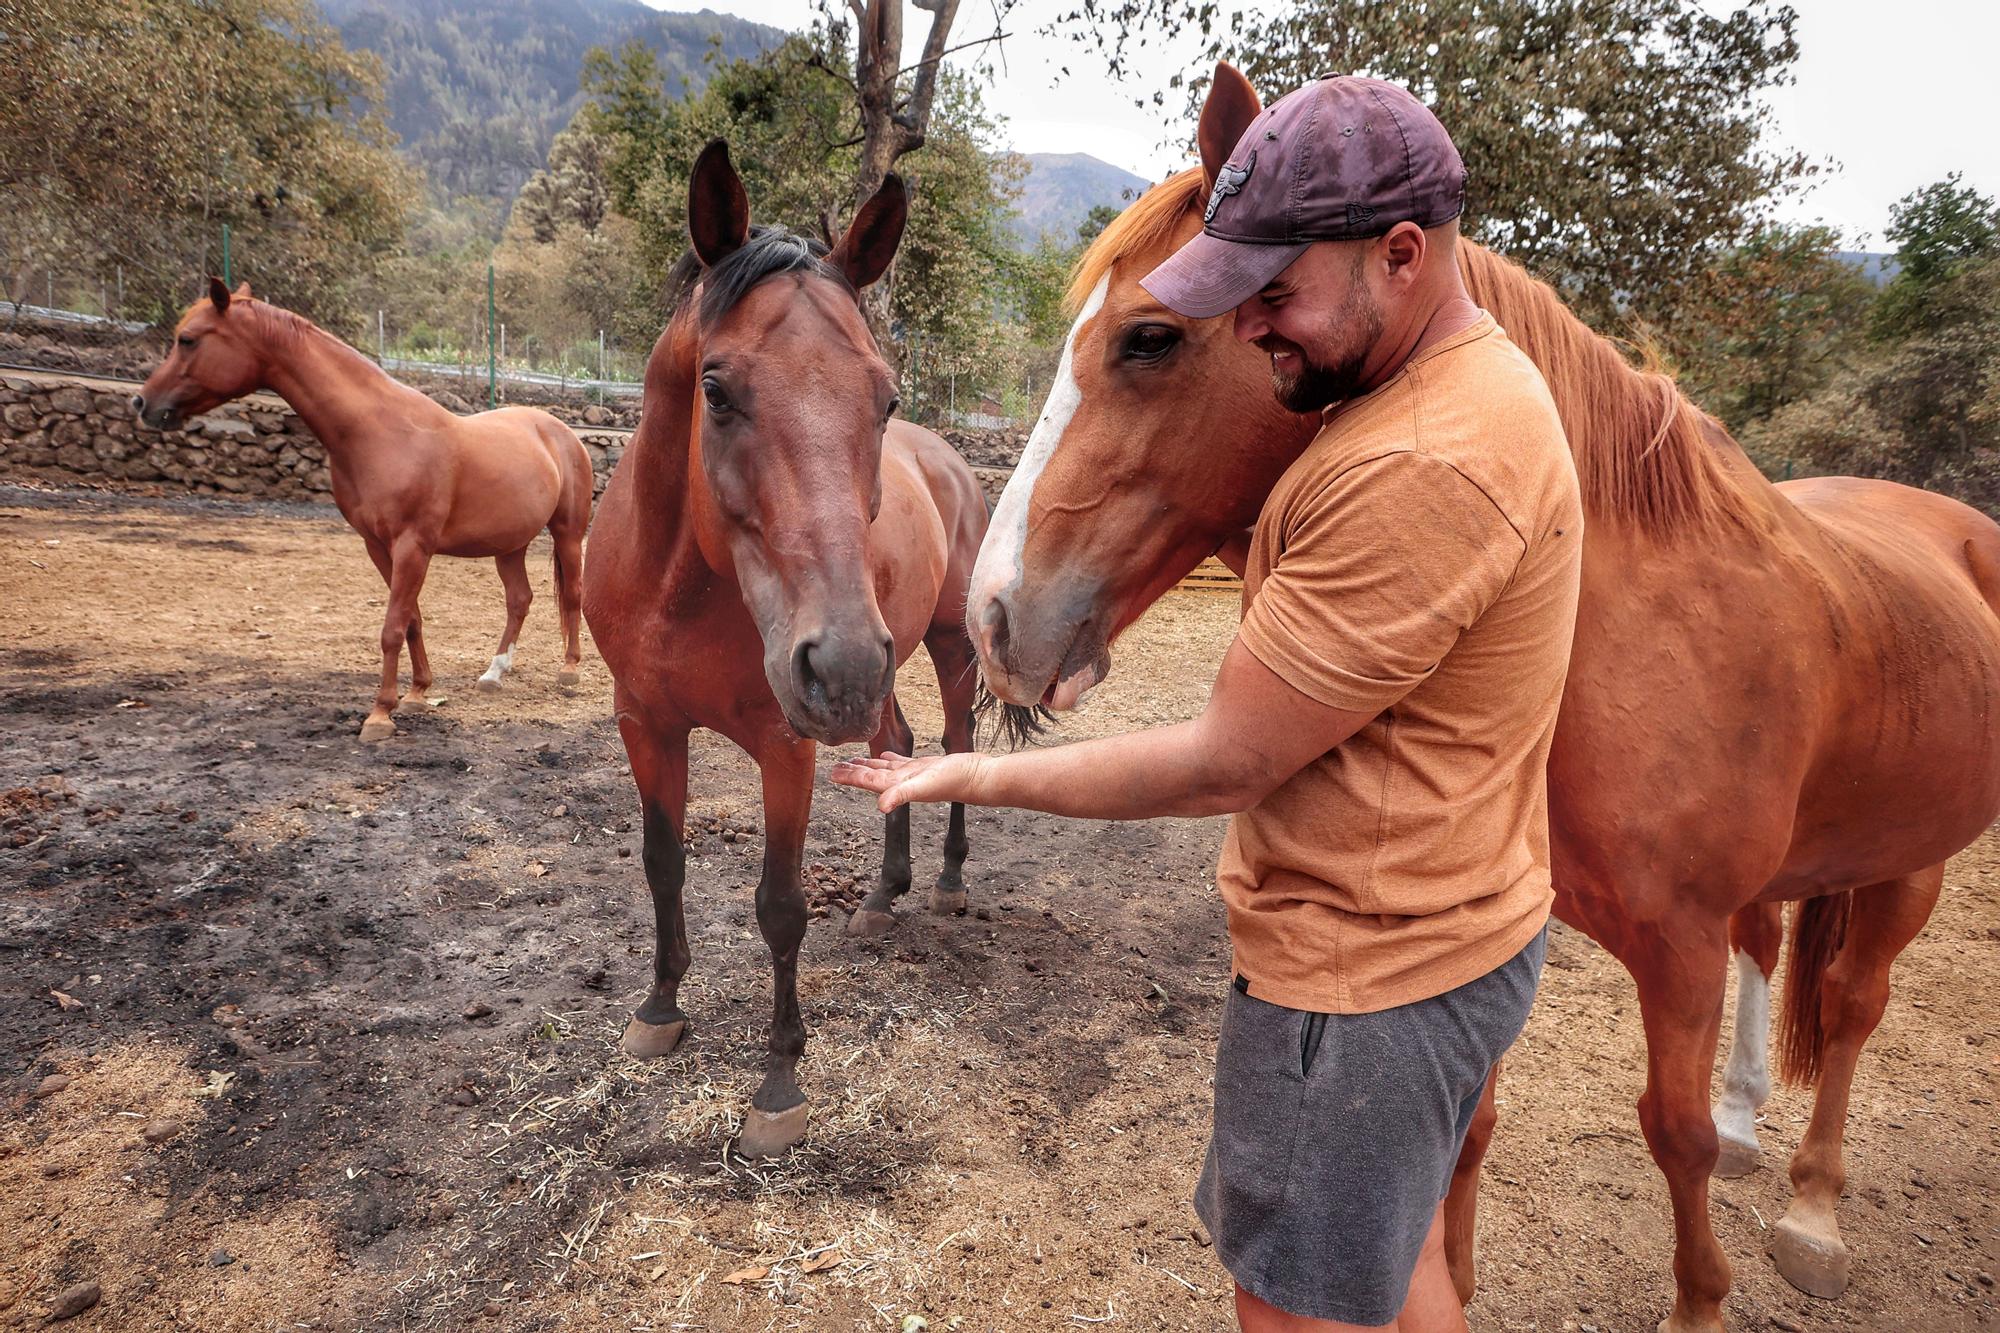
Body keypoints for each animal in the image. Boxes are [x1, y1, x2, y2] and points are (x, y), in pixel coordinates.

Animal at [134, 280, 592, 736]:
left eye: (188, 339)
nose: (142, 404)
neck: (379, 432)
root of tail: (561, 432)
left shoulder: (412, 546)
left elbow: (392, 627)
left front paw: (380, 714)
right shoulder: (378, 546)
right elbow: (410, 619)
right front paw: (417, 693)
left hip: (567, 533)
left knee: (572, 594)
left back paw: (569, 670)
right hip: (509, 544)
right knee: (519, 600)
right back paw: (494, 673)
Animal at [576, 137, 988, 1152]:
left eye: (884, 399)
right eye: (717, 390)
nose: (836, 664)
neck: (681, 589)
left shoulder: (784, 746)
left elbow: (780, 905)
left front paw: (779, 1080)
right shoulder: (645, 723)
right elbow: (663, 862)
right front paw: (659, 1007)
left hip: (936, 646)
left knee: (956, 745)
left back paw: (946, 881)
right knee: (899, 745)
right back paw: (883, 896)